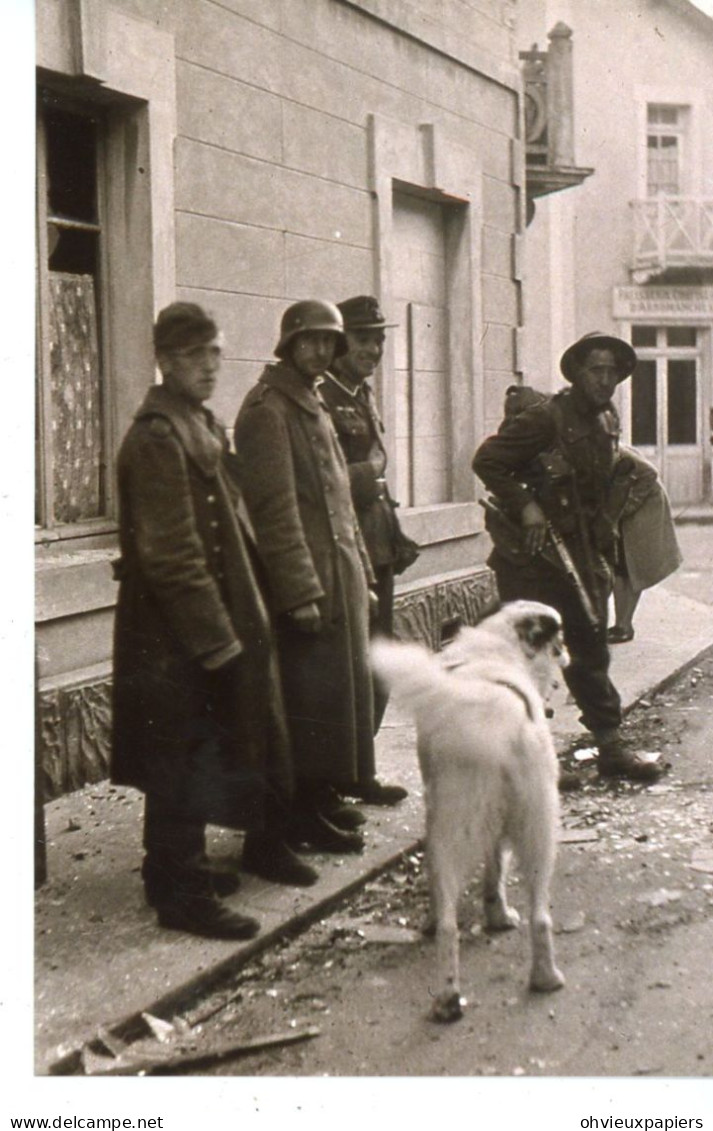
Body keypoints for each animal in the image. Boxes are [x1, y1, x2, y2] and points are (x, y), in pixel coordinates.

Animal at [373, 601, 570, 1026]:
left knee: (449, 926)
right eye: (558, 641)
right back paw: (545, 978)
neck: (498, 647)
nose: (567, 655)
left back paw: (448, 997)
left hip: (448, 828)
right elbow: (495, 871)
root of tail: (494, 723)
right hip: (539, 827)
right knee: (540, 915)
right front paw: (498, 916)